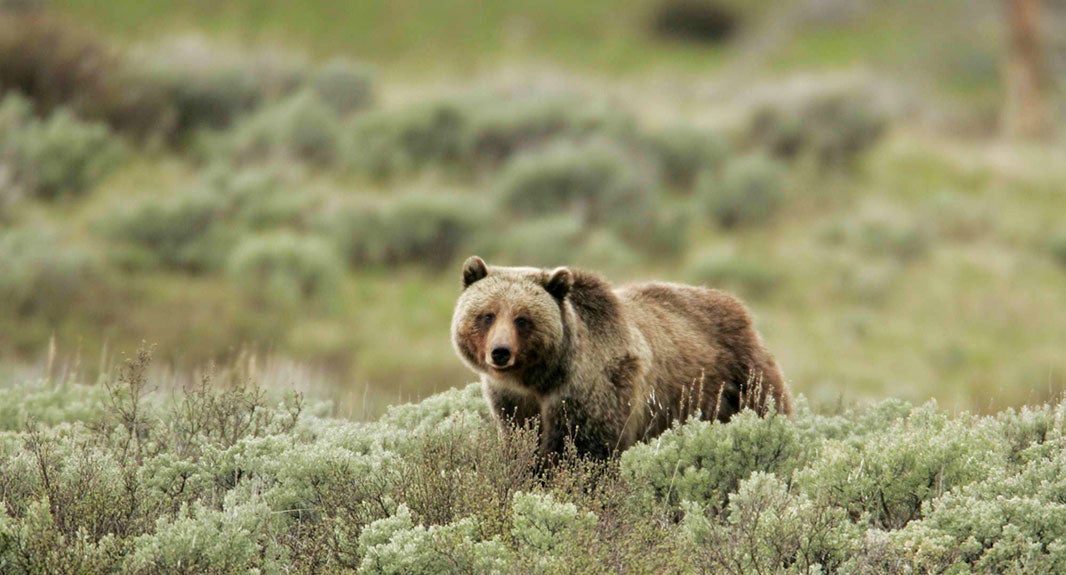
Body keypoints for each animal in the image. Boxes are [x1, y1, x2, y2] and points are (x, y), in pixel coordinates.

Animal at [449, 256, 793, 458]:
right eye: (487, 315)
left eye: (522, 319)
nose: (500, 352)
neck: (542, 377)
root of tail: (739, 307)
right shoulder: (513, 401)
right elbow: (523, 439)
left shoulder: (595, 388)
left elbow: (586, 449)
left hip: (739, 380)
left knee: (764, 405)